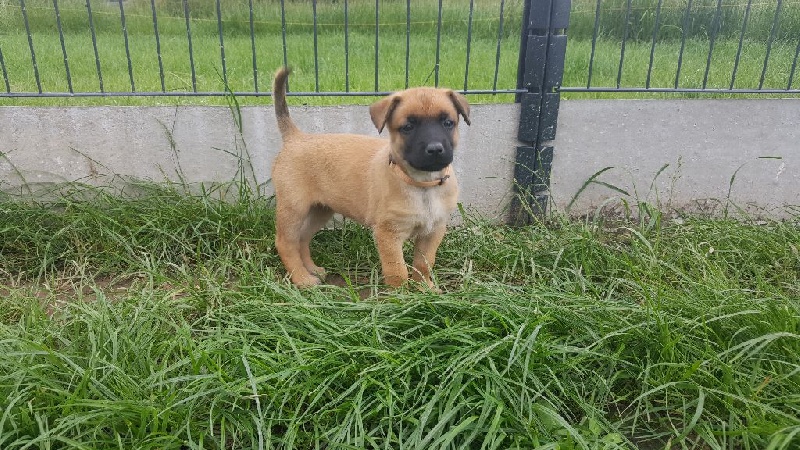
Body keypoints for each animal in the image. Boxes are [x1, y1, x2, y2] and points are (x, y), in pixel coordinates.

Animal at [271, 67, 469, 288]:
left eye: (448, 123)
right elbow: (397, 271)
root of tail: (295, 137)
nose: (435, 149)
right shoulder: (388, 234)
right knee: (286, 242)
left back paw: (312, 269)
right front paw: (400, 295)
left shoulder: (433, 231)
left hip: (320, 209)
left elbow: (423, 264)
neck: (422, 184)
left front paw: (425, 289)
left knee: (302, 238)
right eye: (407, 127)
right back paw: (302, 278)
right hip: (293, 208)